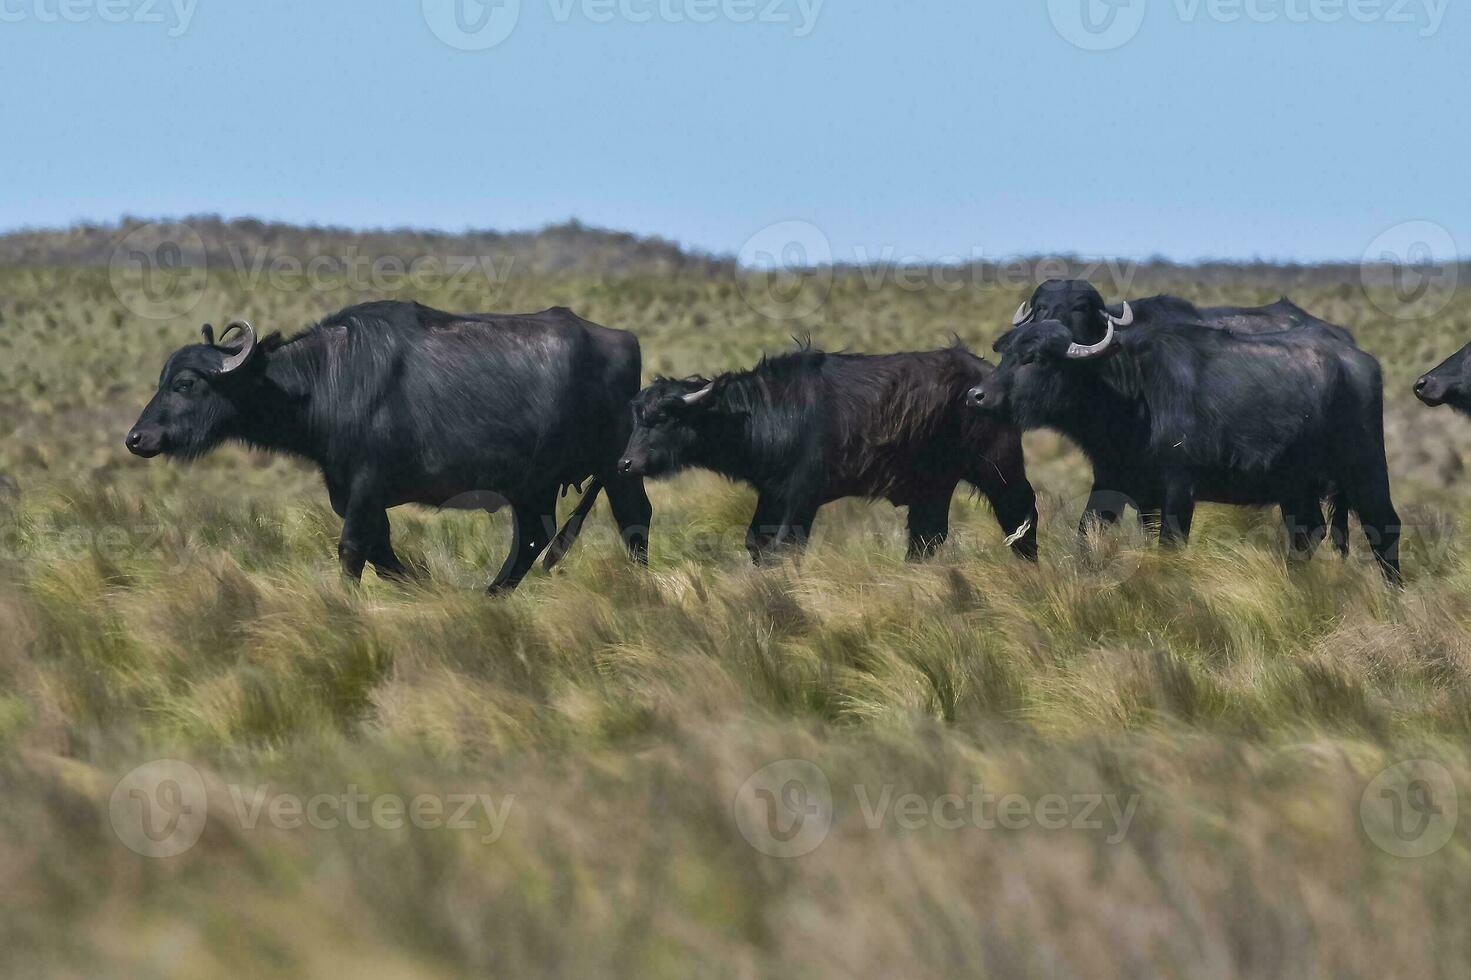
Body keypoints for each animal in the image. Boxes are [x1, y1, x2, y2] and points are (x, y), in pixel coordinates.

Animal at [123, 300, 653, 588]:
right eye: (163, 379)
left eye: (186, 384)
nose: (137, 438)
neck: (327, 381)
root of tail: (625, 342)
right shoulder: (355, 494)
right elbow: (381, 552)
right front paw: (423, 586)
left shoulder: (365, 489)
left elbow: (353, 550)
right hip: (533, 485)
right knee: (532, 539)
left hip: (616, 467)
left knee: (633, 519)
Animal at [614, 345, 1041, 562]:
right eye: (636, 418)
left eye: (662, 417)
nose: (626, 463)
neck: (764, 414)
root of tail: (987, 380)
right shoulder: (773, 494)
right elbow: (756, 543)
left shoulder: (802, 496)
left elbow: (785, 545)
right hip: (934, 485)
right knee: (927, 537)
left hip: (997, 466)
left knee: (1021, 514)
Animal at [964, 294, 1400, 576]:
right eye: (1005, 353)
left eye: (1034, 358)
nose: (976, 395)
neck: (1131, 395)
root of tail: (1359, 359)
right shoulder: (1114, 482)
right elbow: (1088, 534)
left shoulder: (1178, 489)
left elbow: (1169, 546)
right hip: (1297, 487)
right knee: (1306, 534)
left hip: (1365, 469)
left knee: (1384, 527)